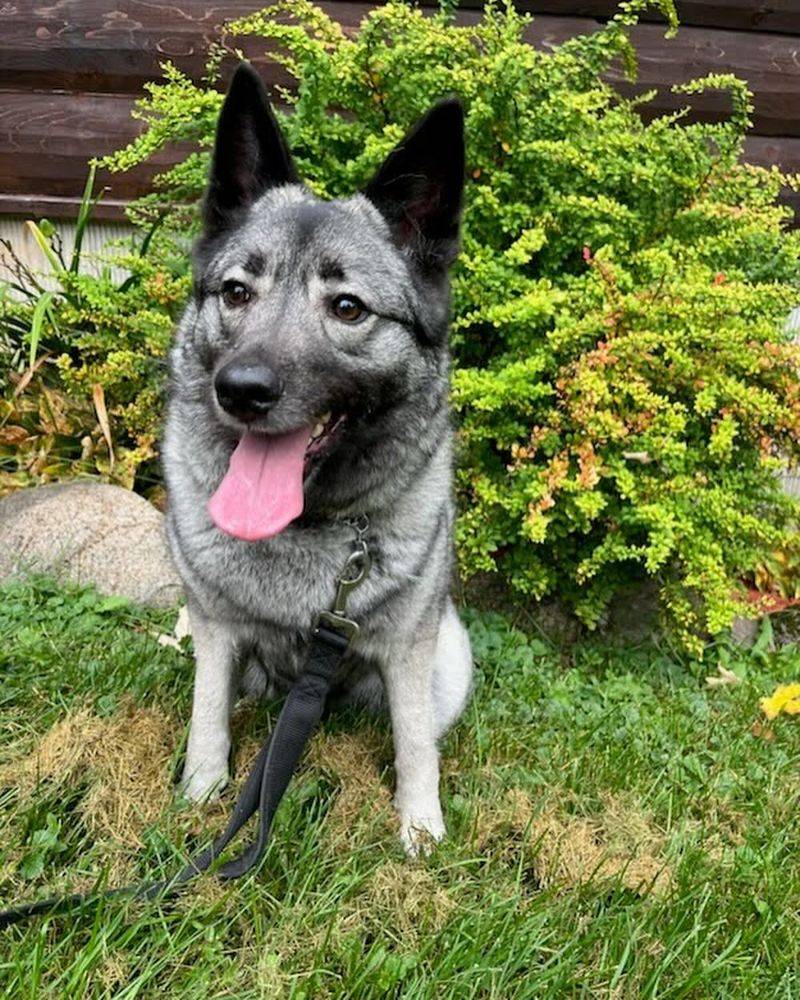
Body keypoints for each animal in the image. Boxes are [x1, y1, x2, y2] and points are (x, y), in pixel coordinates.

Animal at [164, 62, 476, 852]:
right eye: (236, 291)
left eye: (347, 308)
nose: (241, 390)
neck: (305, 527)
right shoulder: (214, 631)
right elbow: (207, 714)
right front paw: (202, 793)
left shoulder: (408, 649)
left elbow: (415, 742)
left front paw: (419, 825)